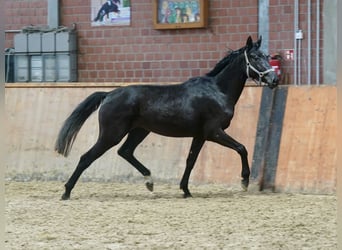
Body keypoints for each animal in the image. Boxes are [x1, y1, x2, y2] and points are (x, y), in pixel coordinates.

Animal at [55, 36, 278, 199]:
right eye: (255, 57)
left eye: (267, 56)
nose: (274, 79)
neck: (217, 91)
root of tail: (109, 94)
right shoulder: (214, 132)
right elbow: (242, 148)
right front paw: (244, 181)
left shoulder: (200, 135)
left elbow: (191, 160)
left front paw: (186, 190)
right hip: (112, 134)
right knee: (87, 157)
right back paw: (66, 192)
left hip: (139, 131)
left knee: (125, 151)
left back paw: (150, 181)